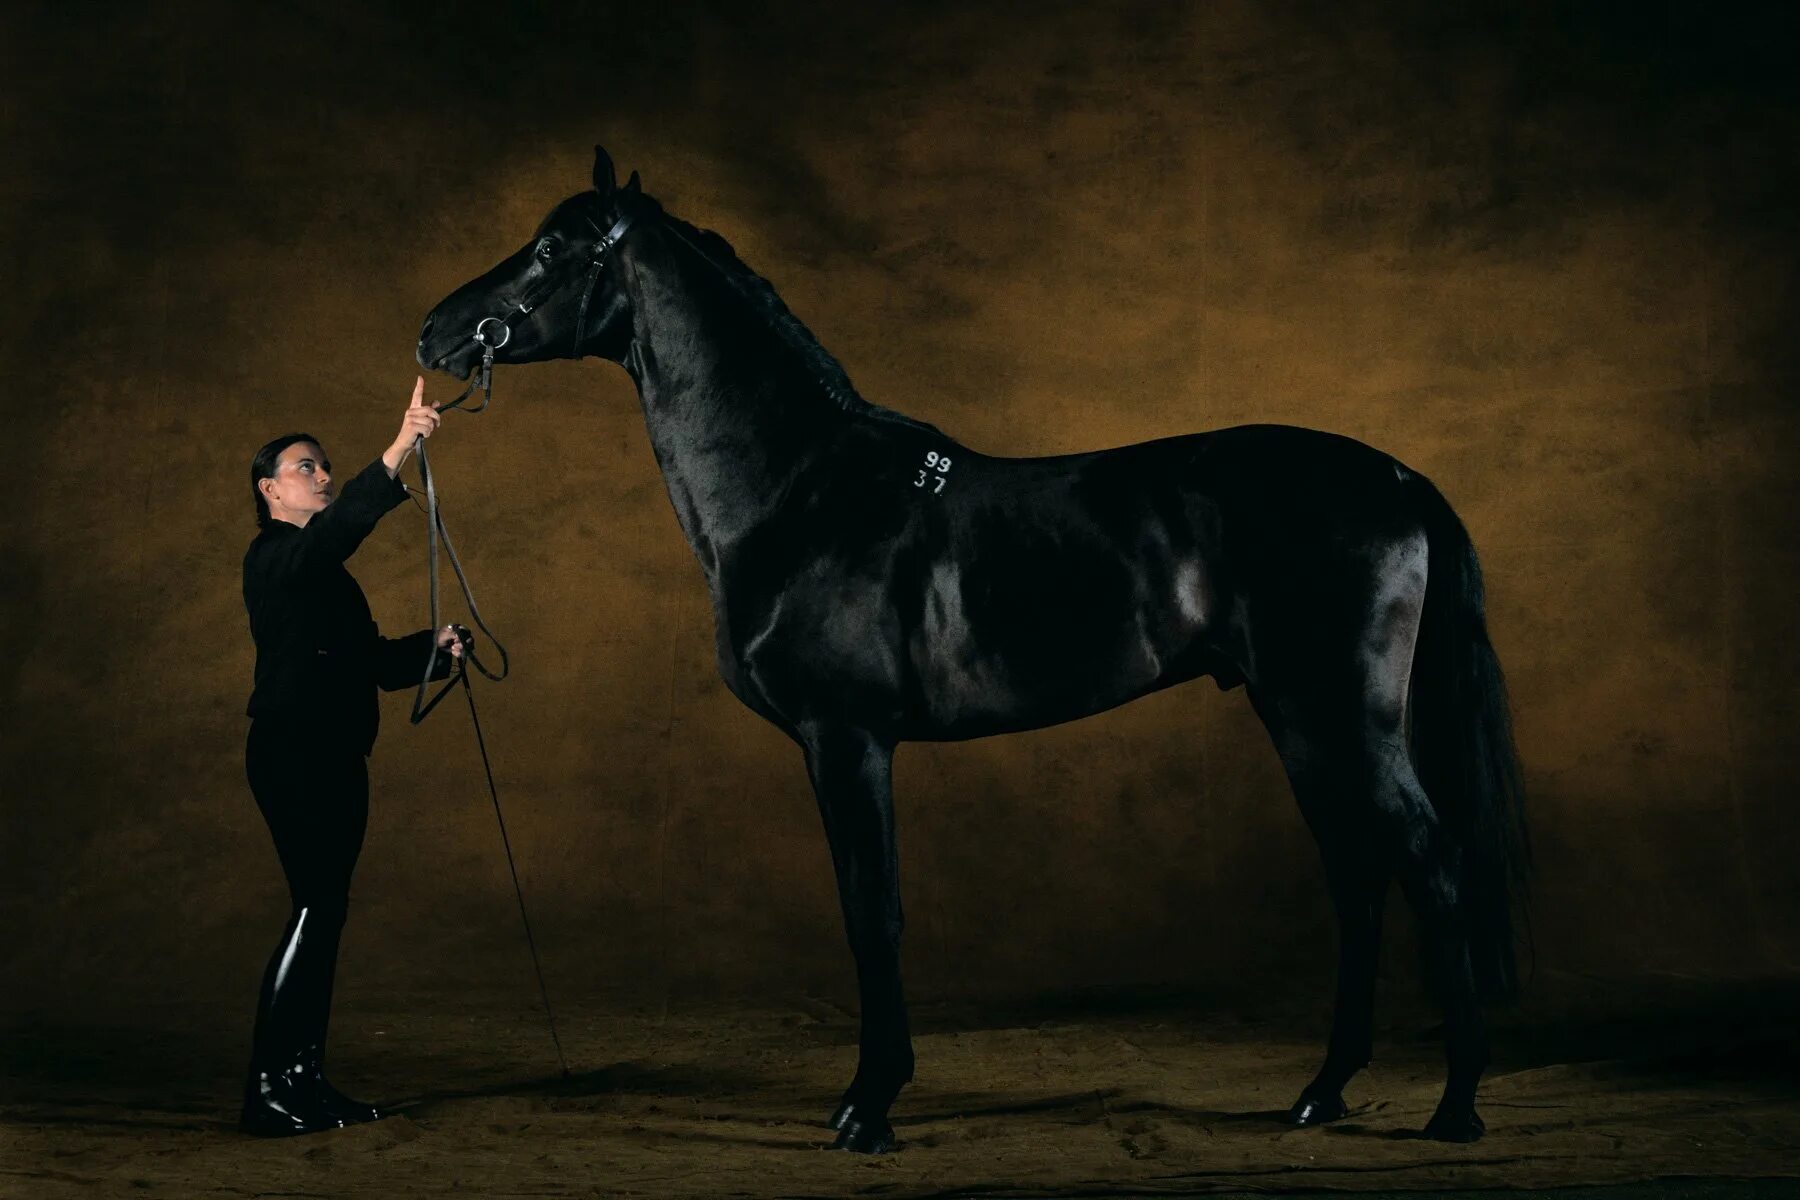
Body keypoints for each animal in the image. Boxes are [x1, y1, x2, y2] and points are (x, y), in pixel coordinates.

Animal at [417, 150, 1533, 1151]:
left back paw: (1455, 1106)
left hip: (1344, 718)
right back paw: (1323, 1091)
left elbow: (872, 912)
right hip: (1298, 720)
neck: (802, 492)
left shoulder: (848, 741)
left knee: (1430, 863)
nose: (434, 329)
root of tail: (1399, 479)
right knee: (1358, 876)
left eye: (550, 247)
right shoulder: (839, 748)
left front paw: (869, 1109)